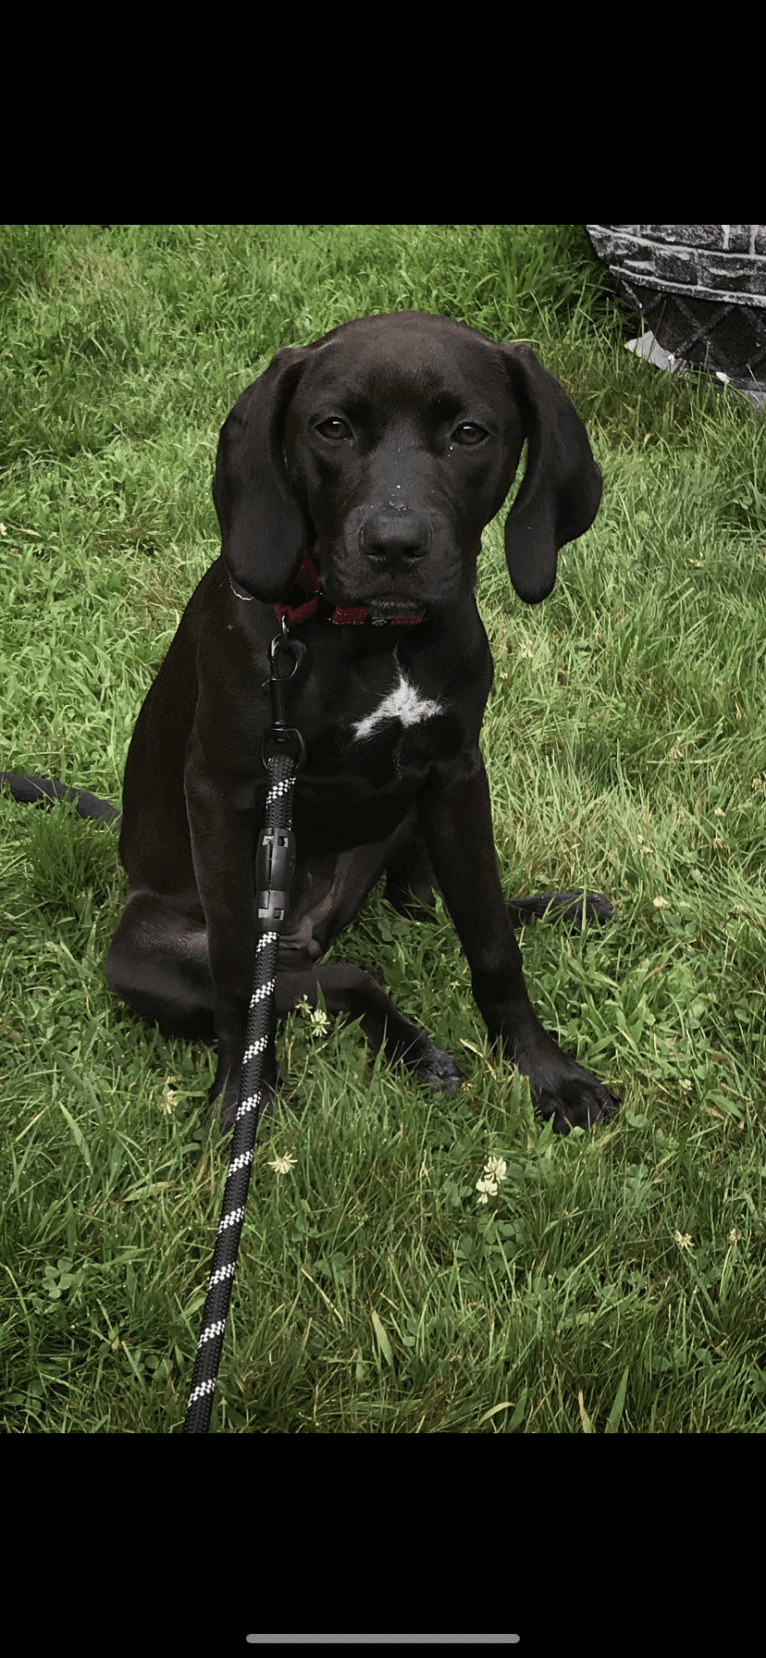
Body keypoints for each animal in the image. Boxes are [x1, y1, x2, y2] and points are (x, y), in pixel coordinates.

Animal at [5, 311, 620, 1134]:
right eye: (332, 428)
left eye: (469, 433)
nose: (394, 547)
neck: (374, 637)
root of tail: (305, 931)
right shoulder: (225, 793)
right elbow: (239, 978)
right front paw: (242, 1095)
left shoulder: (456, 773)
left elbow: (488, 936)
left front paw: (544, 1070)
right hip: (149, 957)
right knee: (332, 975)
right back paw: (408, 1047)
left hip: (406, 822)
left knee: (418, 909)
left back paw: (555, 912)